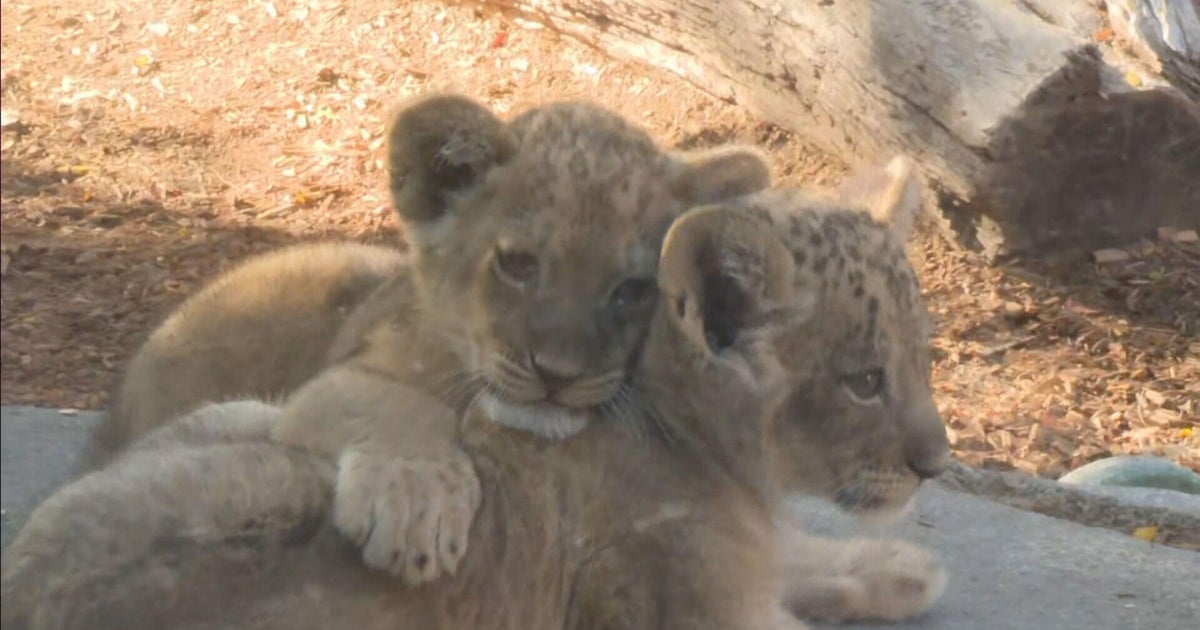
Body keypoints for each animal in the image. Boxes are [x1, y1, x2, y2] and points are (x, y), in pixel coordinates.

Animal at [1, 156, 950, 630]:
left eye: (923, 359)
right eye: (865, 382)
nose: (938, 465)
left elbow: (797, 556)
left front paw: (893, 567)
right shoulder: (705, 614)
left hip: (248, 423)